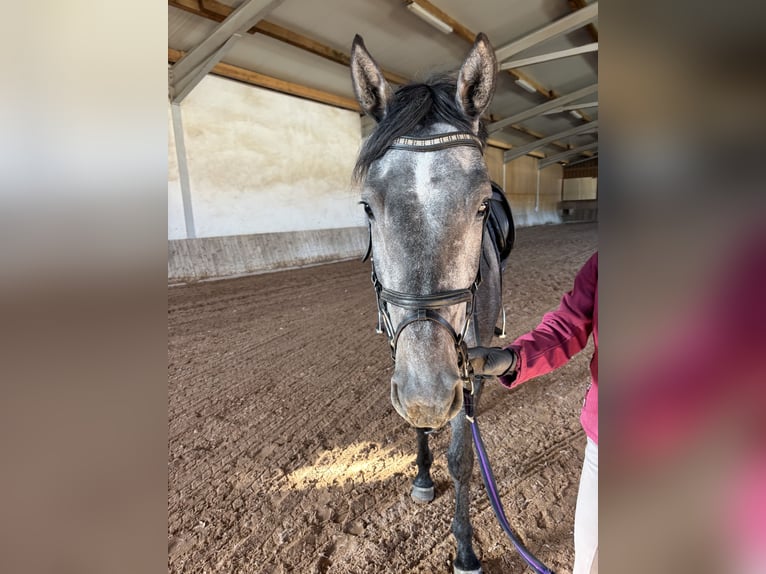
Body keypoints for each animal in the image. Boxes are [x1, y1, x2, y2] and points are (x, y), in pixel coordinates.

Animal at [350, 33, 512, 573]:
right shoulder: (403, 353)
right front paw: (421, 474)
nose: (429, 393)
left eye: (482, 205)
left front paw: (464, 546)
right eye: (367, 206)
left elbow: (462, 457)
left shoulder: (463, 364)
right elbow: (418, 426)